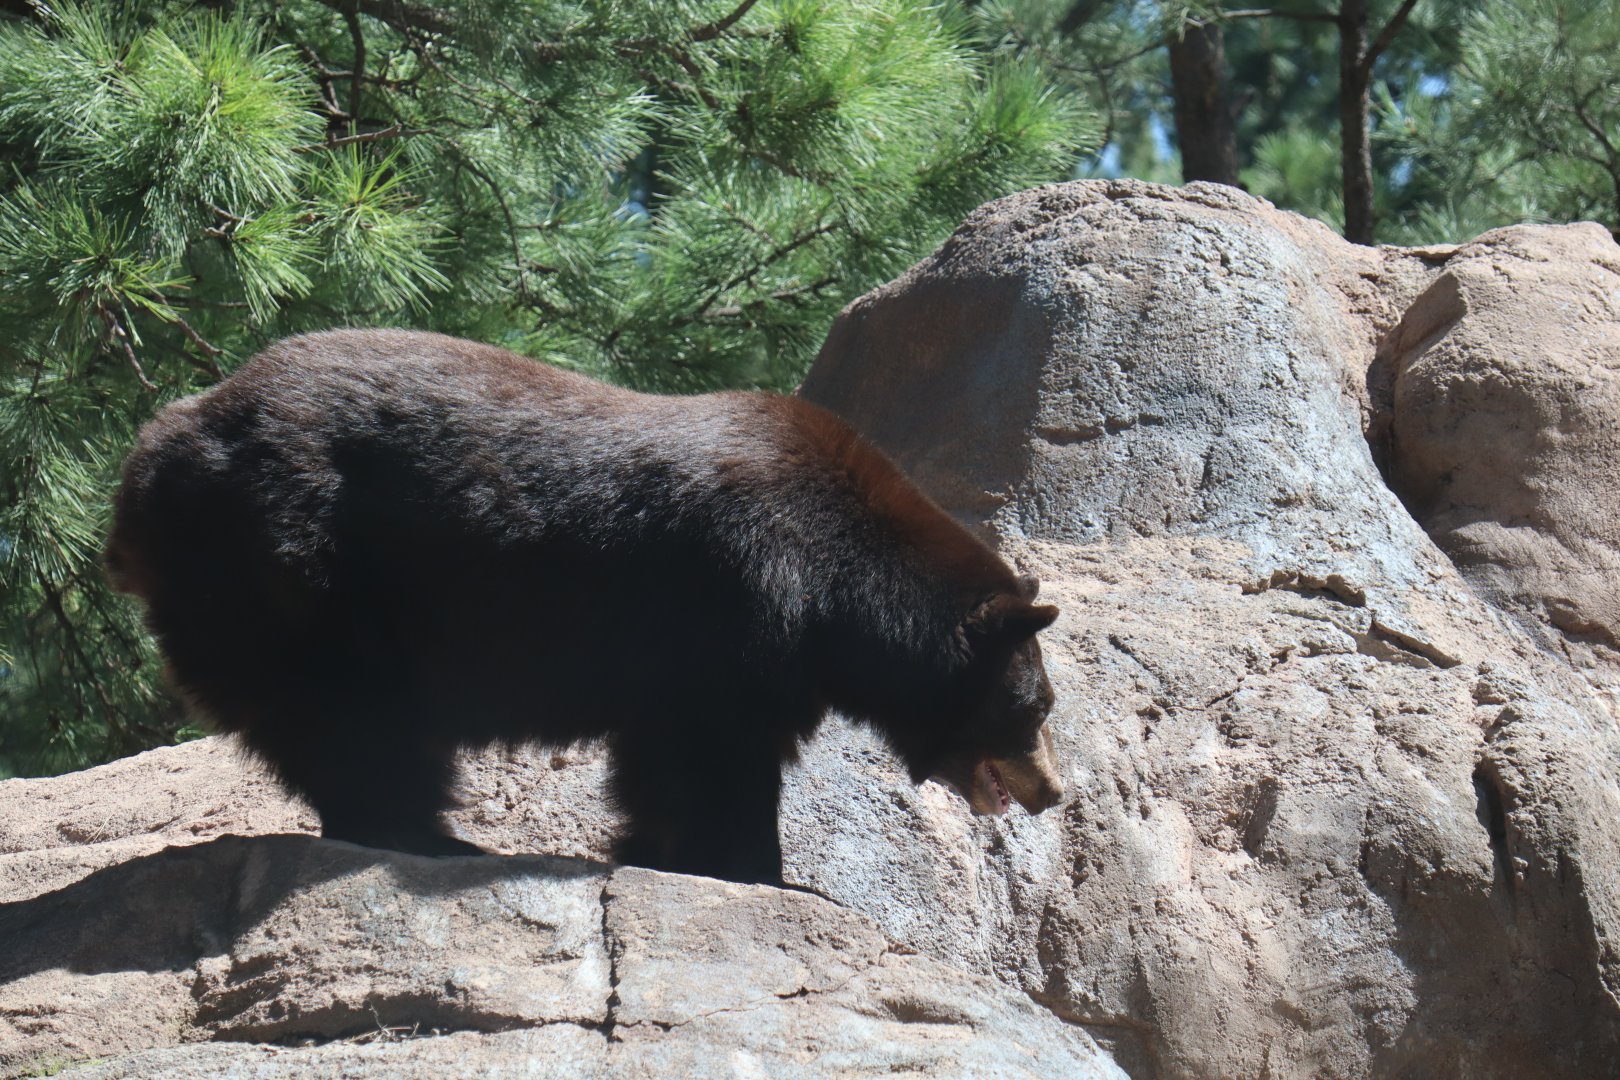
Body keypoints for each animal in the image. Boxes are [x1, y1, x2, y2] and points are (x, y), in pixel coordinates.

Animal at [106, 328, 1065, 885]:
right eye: (1037, 706)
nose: (1053, 792)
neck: (841, 592)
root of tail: (148, 467)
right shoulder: (739, 595)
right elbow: (715, 751)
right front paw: (760, 868)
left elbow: (664, 755)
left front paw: (660, 852)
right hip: (296, 564)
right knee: (351, 713)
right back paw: (424, 832)